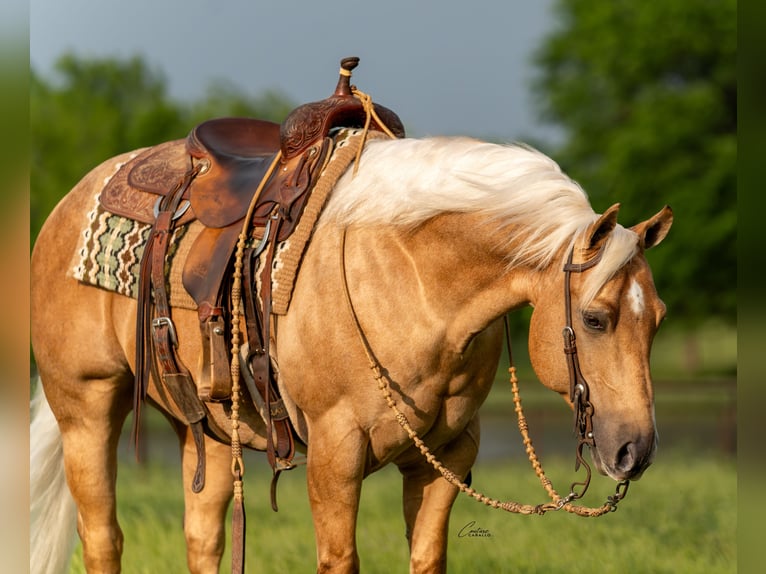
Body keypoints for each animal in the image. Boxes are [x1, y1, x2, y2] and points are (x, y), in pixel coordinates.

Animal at [30, 133, 672, 573]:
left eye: (658, 320)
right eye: (595, 319)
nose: (635, 451)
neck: (411, 277)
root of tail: (71, 200)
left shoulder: (448, 455)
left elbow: (426, 558)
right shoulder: (335, 454)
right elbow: (340, 560)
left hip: (206, 431)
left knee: (202, 539)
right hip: (87, 408)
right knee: (103, 538)